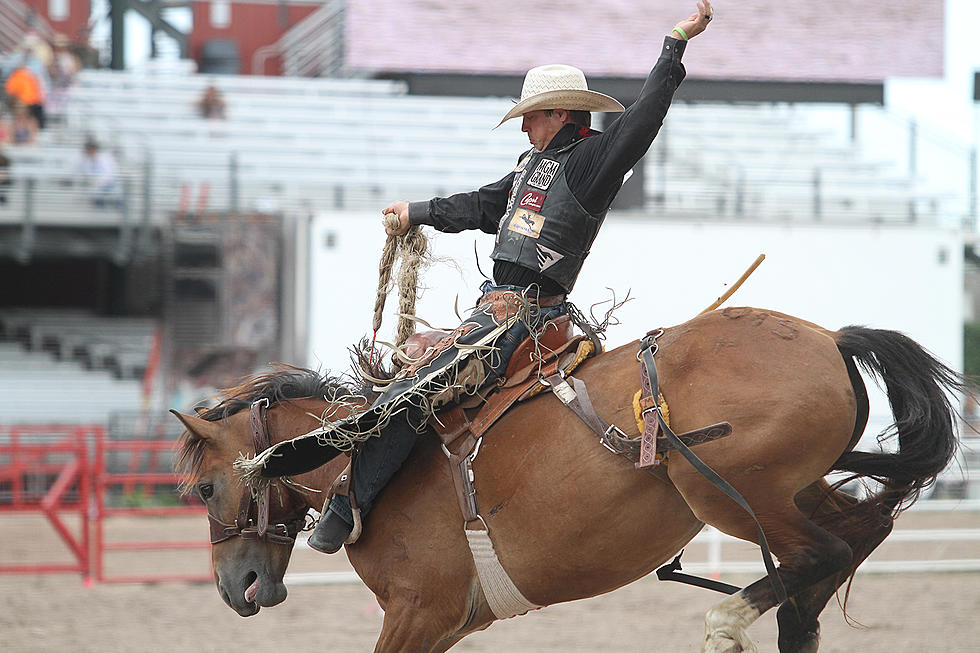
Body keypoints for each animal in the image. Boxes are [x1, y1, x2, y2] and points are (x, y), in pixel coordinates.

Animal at [172, 306, 960, 652]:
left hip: (734, 492)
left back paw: (728, 623)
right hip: (791, 491)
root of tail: (830, 338)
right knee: (859, 533)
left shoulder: (419, 611)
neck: (362, 459)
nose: (236, 586)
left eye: (206, 489)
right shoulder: (449, 623)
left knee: (827, 552)